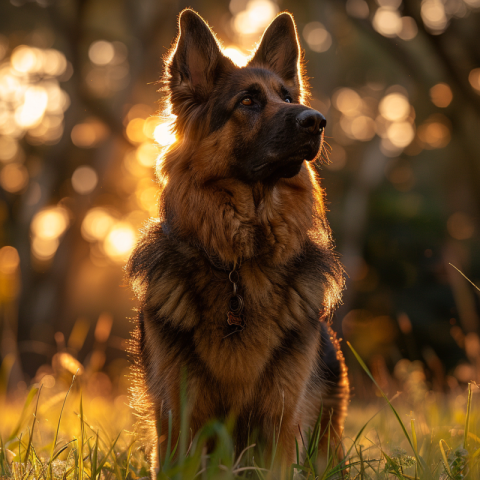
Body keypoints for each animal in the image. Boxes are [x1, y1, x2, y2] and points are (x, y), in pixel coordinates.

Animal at [128, 7, 348, 472]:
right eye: (248, 101)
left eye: (288, 97)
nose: (316, 121)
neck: (242, 260)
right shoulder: (179, 421)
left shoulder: (279, 423)